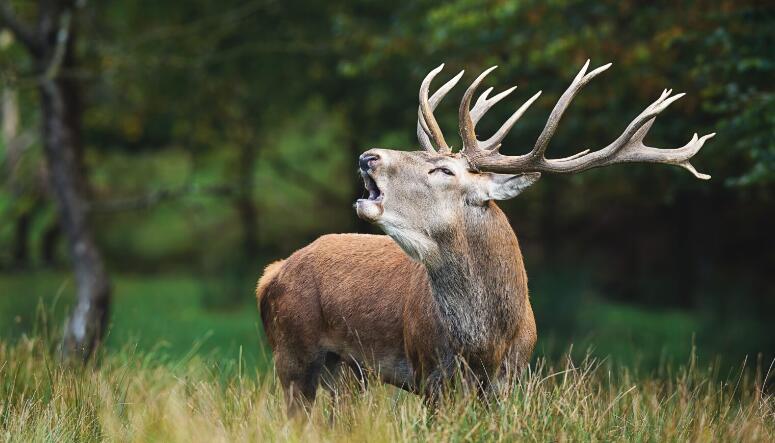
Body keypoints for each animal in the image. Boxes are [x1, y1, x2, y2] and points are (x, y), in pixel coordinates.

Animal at [257, 60, 713, 414]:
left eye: (442, 169)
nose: (368, 156)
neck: (485, 341)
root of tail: (272, 273)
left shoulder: (509, 379)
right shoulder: (431, 373)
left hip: (346, 372)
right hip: (293, 352)